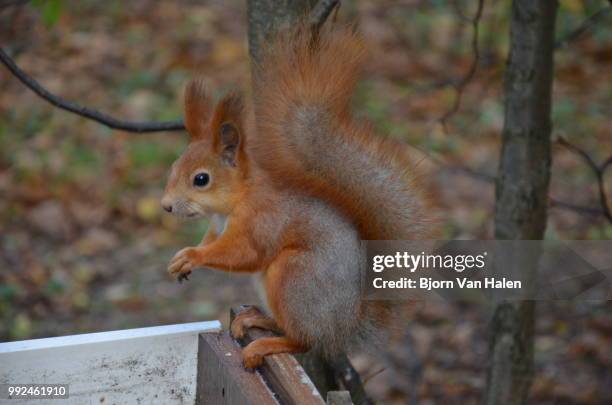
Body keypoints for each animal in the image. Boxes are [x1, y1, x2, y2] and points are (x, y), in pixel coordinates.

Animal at [158, 23, 436, 368]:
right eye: (173, 167)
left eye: (201, 179)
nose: (166, 206)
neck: (235, 202)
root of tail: (344, 330)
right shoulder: (216, 227)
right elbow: (211, 242)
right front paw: (182, 260)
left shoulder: (261, 220)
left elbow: (243, 253)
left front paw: (193, 256)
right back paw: (255, 319)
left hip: (293, 278)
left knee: (304, 341)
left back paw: (263, 346)